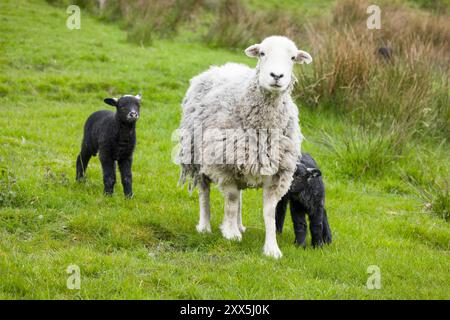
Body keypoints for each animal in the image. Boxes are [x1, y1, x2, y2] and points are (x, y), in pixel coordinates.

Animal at [178, 36, 312, 258]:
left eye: (293, 58)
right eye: (262, 53)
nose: (277, 76)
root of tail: (222, 66)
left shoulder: (276, 173)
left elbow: (269, 212)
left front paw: (272, 249)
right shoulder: (223, 164)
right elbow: (231, 200)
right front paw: (231, 234)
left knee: (239, 194)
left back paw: (239, 225)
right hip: (198, 155)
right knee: (205, 191)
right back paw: (205, 226)